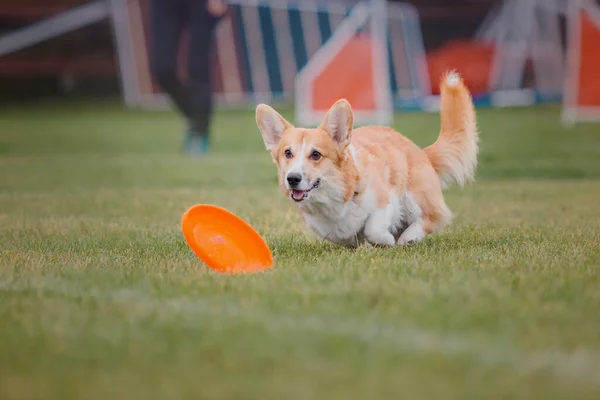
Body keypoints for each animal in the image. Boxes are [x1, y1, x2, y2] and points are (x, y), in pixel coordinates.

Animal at [254, 72, 478, 247]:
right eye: (287, 153)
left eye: (316, 155)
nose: (292, 179)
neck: (333, 198)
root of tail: (422, 152)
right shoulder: (328, 230)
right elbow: (350, 237)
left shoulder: (387, 199)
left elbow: (373, 229)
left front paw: (387, 240)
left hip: (414, 196)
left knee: (431, 218)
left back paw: (408, 238)